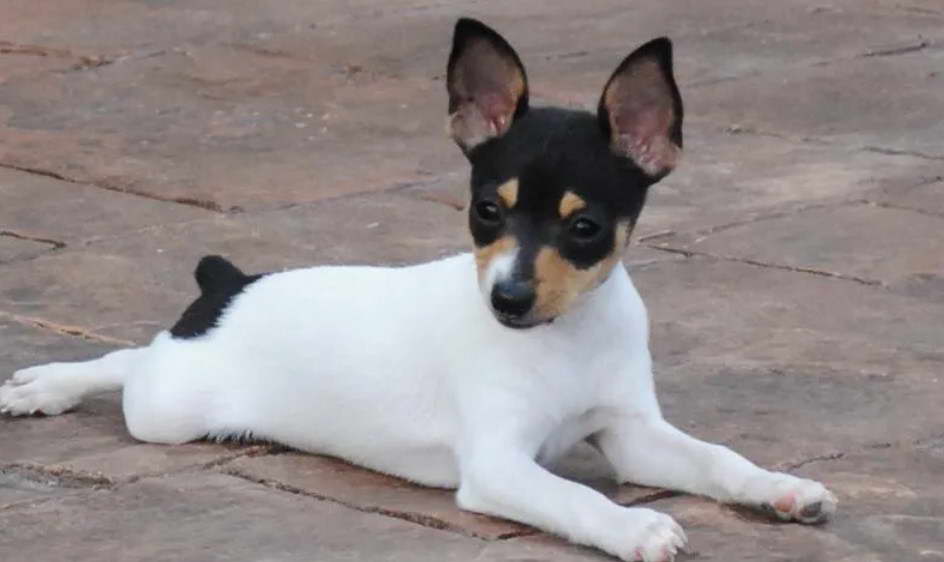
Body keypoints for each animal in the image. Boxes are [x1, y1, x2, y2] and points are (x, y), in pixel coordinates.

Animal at [3, 17, 836, 560]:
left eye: (586, 227)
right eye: (486, 210)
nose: (507, 300)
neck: (562, 339)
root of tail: (230, 285)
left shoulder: (632, 435)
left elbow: (717, 459)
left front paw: (781, 488)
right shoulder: (498, 465)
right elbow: (578, 496)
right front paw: (634, 529)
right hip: (168, 409)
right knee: (128, 362)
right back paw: (45, 386)